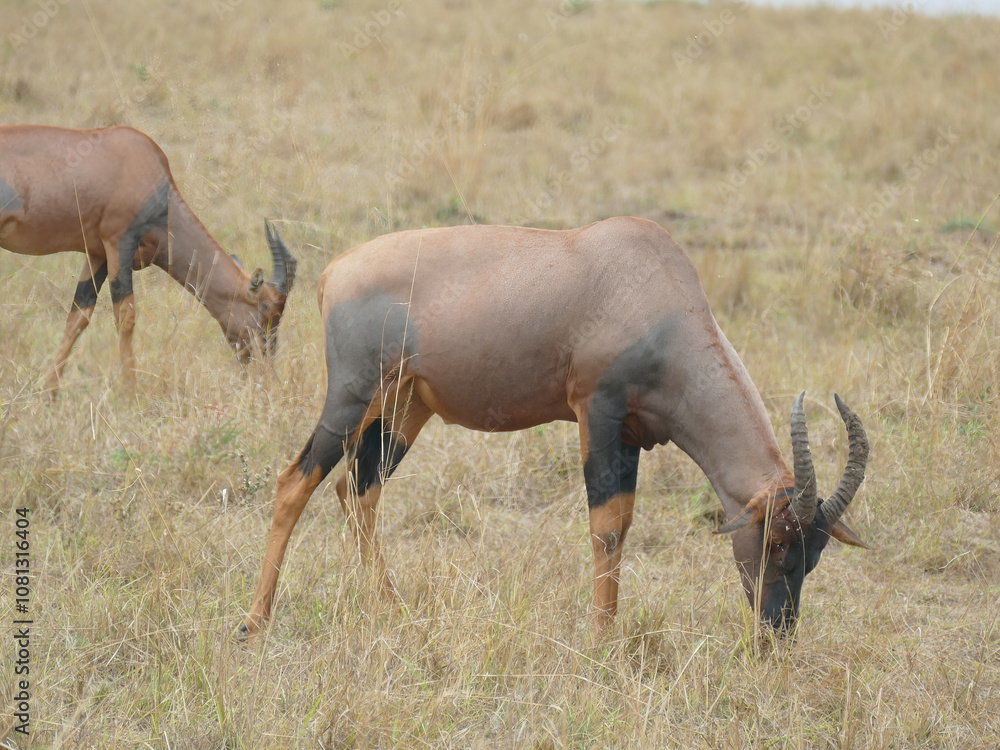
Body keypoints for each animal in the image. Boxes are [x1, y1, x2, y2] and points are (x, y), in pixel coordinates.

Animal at [0, 124, 296, 394]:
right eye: (267, 309)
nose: (266, 377)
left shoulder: (98, 253)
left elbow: (79, 315)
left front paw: (49, 393)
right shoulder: (119, 243)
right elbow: (126, 316)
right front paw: (131, 393)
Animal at [239, 216, 868, 639]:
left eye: (814, 553)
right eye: (778, 541)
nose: (775, 636)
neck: (654, 291)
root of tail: (333, 273)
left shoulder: (632, 435)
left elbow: (624, 524)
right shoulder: (598, 414)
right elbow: (606, 528)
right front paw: (602, 643)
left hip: (404, 407)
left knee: (358, 488)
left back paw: (393, 611)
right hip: (351, 395)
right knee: (296, 481)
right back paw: (253, 623)